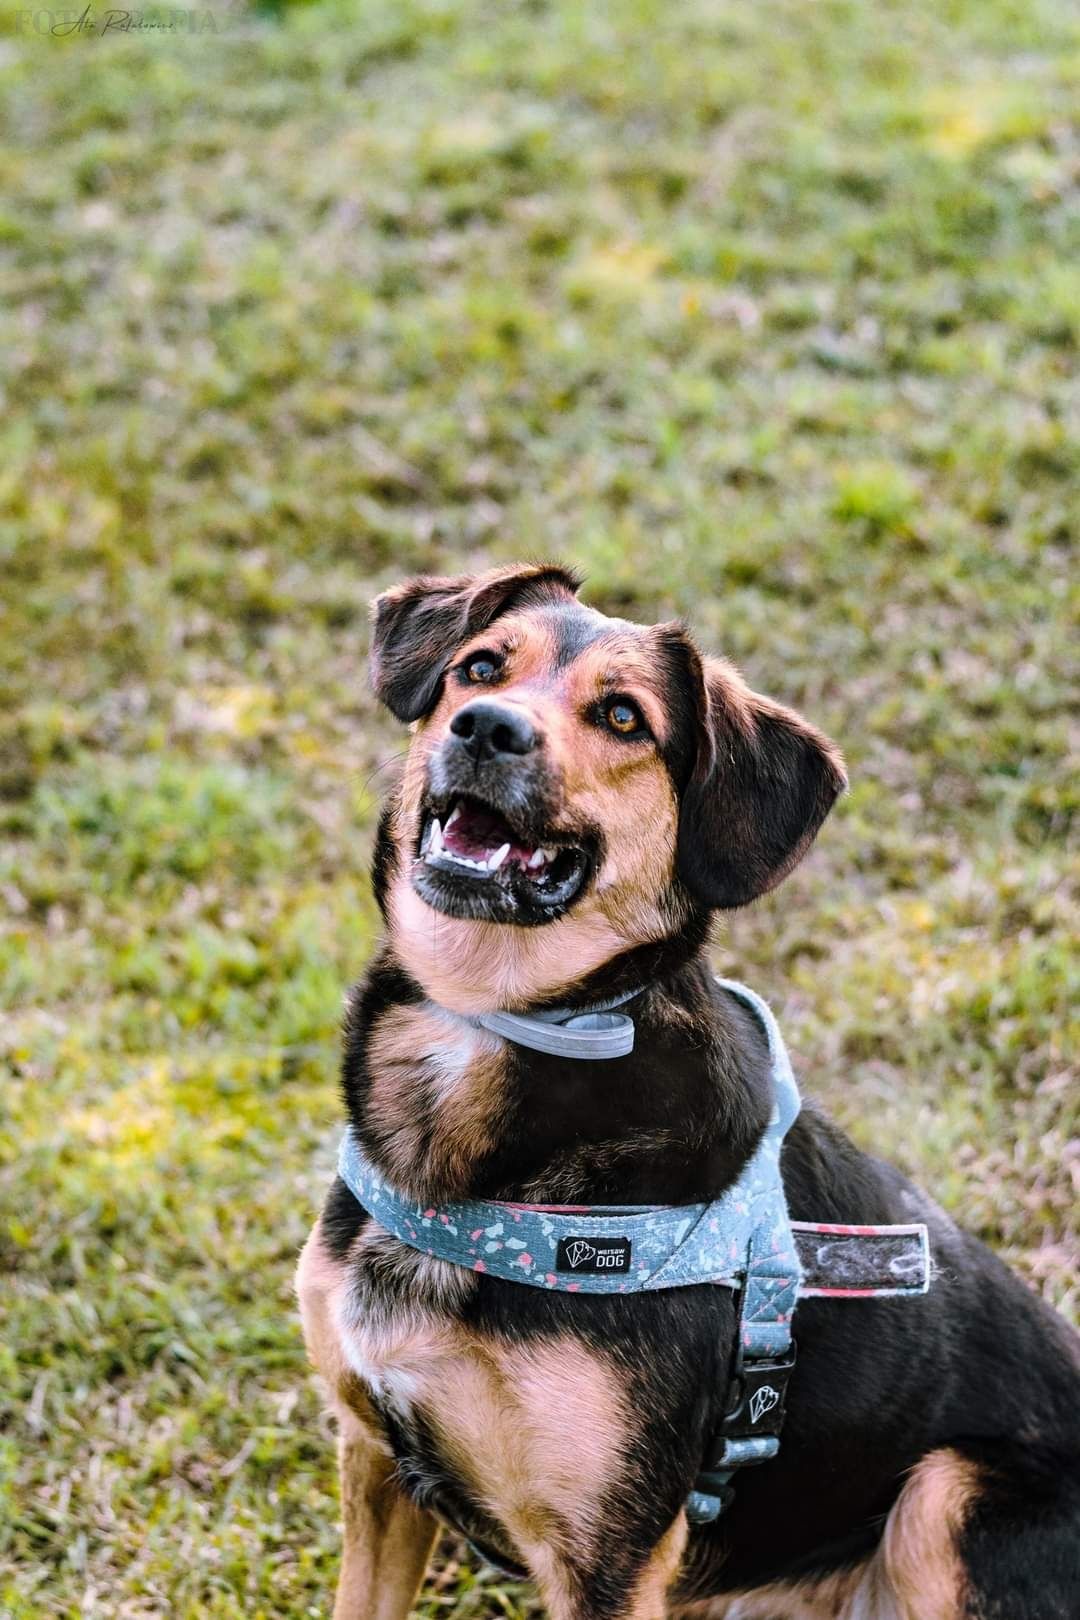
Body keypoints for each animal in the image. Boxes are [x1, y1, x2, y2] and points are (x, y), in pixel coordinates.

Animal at [296, 563, 1080, 1613]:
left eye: (624, 718)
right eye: (481, 667)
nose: (486, 728)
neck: (495, 1016)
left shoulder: (610, 1555)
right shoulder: (375, 1460)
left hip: (945, 1496)